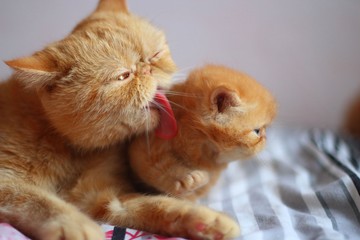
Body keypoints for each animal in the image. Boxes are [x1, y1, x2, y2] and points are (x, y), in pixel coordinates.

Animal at [1, 0, 240, 239]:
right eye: (123, 76)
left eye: (155, 54)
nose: (147, 69)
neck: (70, 148)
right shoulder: (7, 183)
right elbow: (39, 201)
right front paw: (78, 227)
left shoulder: (102, 197)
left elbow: (157, 206)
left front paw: (205, 221)